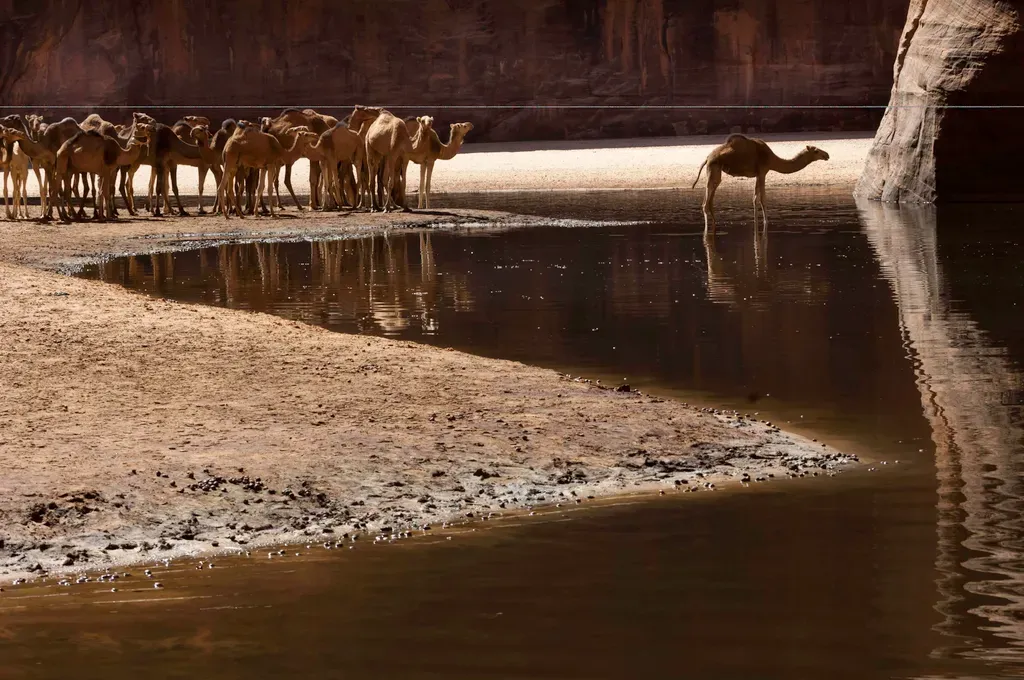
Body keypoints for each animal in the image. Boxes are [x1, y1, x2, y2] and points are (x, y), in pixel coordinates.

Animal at [692, 134, 827, 232]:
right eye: (816, 151)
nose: (827, 155)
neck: (772, 159)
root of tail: (707, 158)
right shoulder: (763, 172)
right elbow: (762, 199)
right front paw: (766, 222)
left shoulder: (758, 174)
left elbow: (755, 198)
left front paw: (758, 222)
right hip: (713, 169)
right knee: (705, 203)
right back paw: (706, 230)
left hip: (715, 172)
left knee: (710, 201)